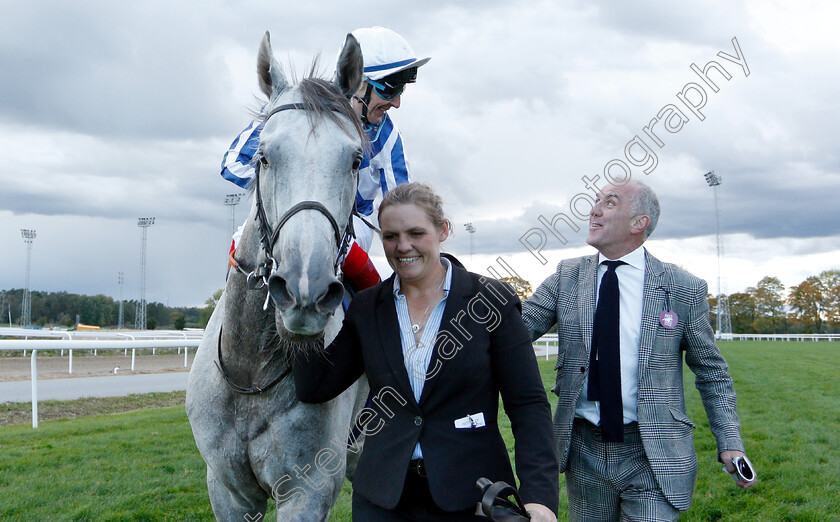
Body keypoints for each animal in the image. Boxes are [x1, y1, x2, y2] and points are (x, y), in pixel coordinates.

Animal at [187, 33, 370, 520]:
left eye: (355, 160)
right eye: (263, 156)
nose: (306, 291)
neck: (252, 372)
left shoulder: (308, 491)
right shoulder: (227, 490)